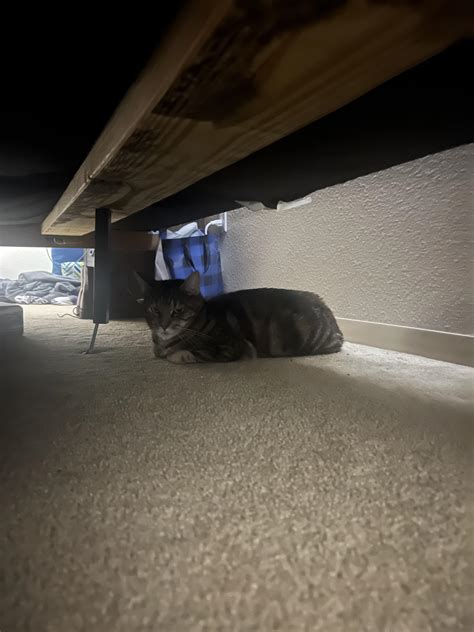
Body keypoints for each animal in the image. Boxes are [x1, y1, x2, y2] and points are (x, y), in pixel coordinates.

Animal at [139, 270, 342, 362]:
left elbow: (190, 354)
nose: (164, 325)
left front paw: (175, 354)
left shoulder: (230, 346)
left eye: (178, 310)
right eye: (154, 310)